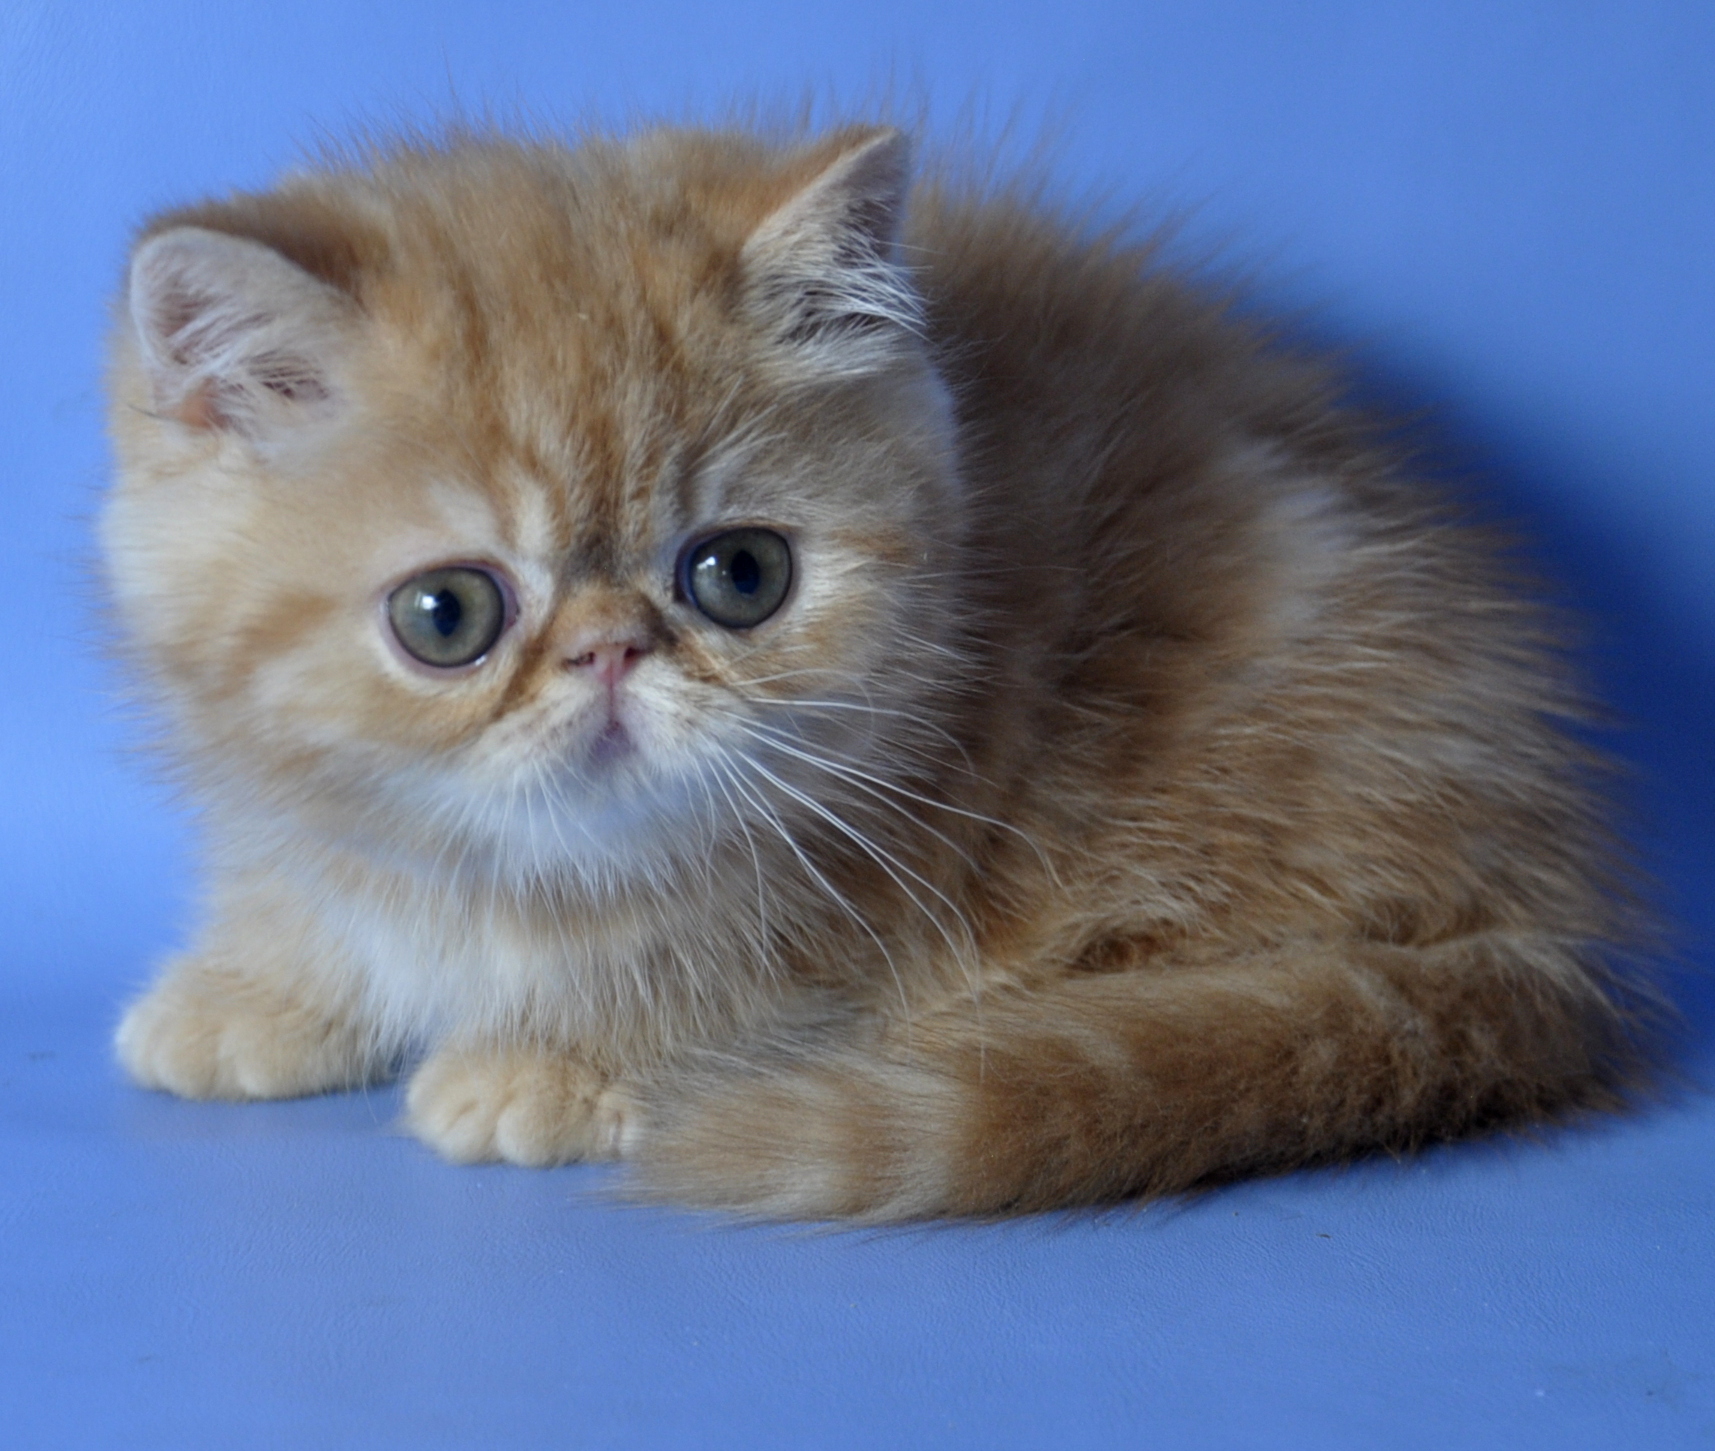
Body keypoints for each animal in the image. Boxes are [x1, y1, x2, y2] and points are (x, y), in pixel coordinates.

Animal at [103, 119, 1646, 1221]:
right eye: (446, 614)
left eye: (738, 574)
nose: (607, 650)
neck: (508, 868)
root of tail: (1547, 903)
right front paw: (262, 989)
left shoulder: (874, 869)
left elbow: (718, 976)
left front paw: (560, 1060)